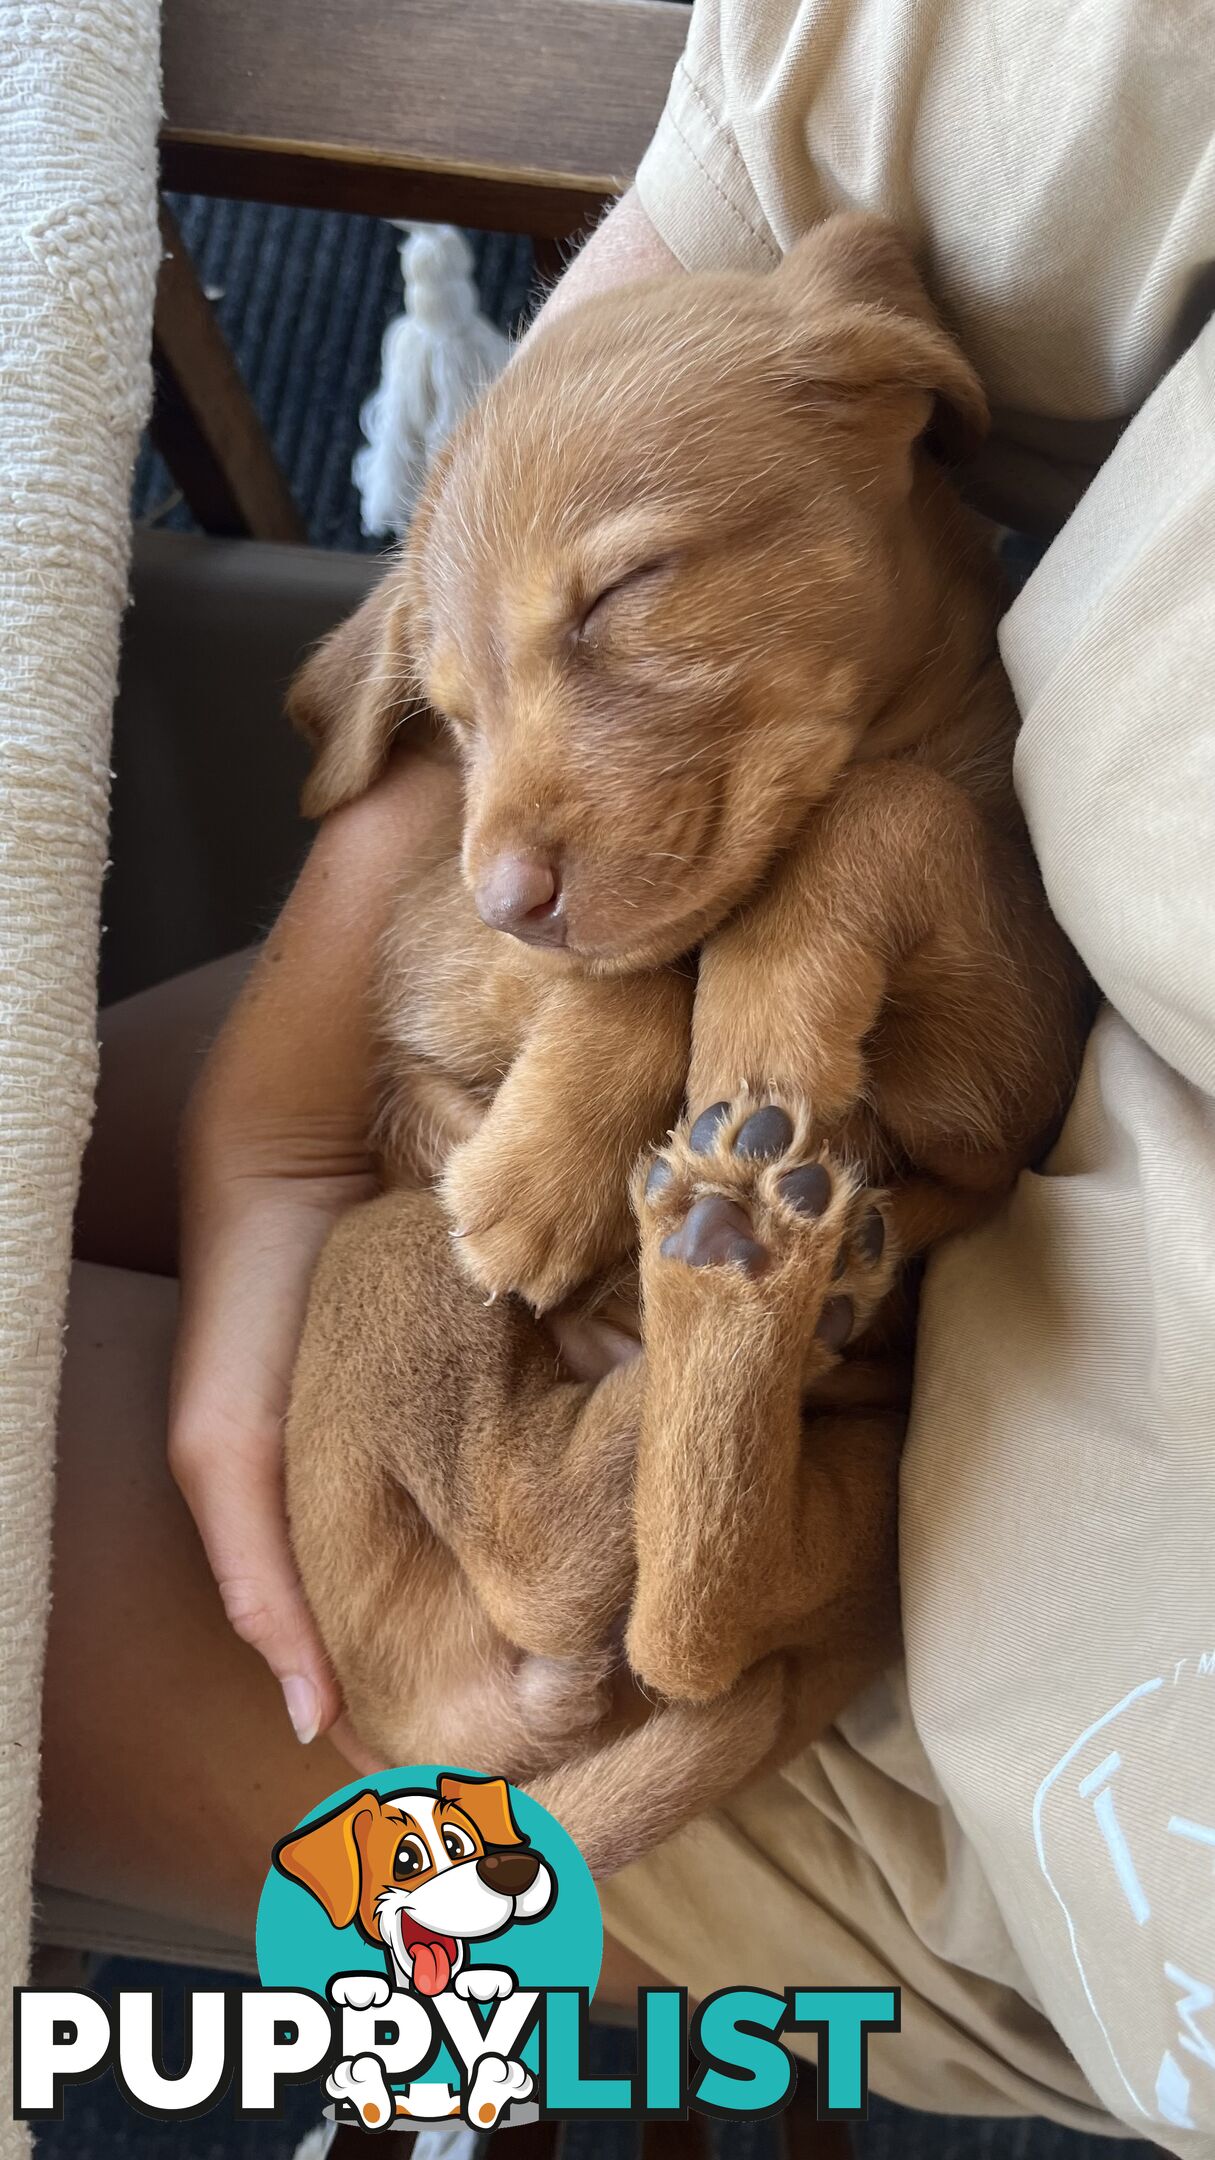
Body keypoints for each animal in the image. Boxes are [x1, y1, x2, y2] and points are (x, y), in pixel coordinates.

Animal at [283, 210, 1089, 1883]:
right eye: (447, 717)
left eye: (622, 593)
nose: (512, 892)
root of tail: (423, 1737)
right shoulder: (441, 944)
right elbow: (649, 949)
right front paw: (537, 1169)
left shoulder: (1008, 1086)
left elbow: (876, 818)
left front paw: (763, 1006)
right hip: (385, 1246)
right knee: (600, 1582)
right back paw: (731, 1267)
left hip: (858, 1513)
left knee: (681, 1623)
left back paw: (762, 1271)